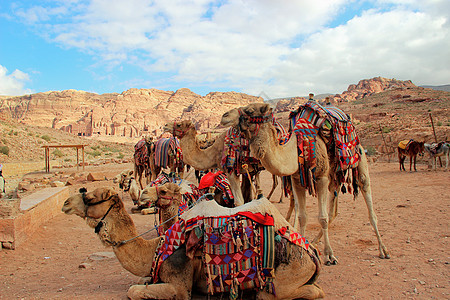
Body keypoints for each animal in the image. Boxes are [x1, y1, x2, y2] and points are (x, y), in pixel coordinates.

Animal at [62, 186, 324, 298]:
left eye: (91, 197)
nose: (65, 203)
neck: (155, 248)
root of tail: (313, 254)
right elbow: (140, 281)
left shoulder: (179, 284)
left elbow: (134, 291)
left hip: (288, 273)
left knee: (305, 292)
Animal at [222, 103, 390, 264]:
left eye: (250, 110)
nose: (224, 116)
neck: (295, 151)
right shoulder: (297, 180)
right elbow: (303, 216)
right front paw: (303, 250)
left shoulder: (321, 178)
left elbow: (322, 217)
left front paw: (329, 256)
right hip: (334, 172)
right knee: (333, 206)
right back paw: (315, 241)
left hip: (358, 160)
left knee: (365, 192)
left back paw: (383, 250)